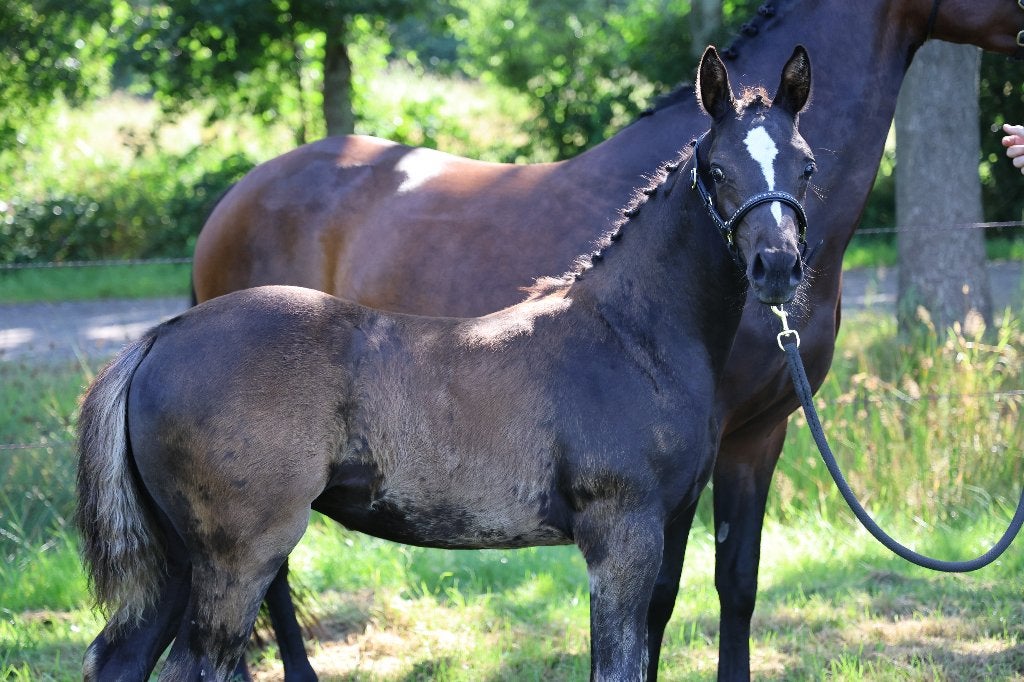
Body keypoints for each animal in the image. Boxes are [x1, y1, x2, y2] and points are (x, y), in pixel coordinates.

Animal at [77, 46, 814, 681]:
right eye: (718, 170)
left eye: (805, 167)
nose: (776, 267)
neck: (631, 336)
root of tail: (160, 337)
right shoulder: (620, 537)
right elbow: (616, 666)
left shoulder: (672, 524)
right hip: (238, 556)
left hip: (178, 559)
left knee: (120, 658)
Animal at [189, 2, 1024, 679]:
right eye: (719, 170)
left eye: (809, 167)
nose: (778, 267)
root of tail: (235, 197)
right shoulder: (706, 453)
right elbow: (666, 600)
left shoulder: (759, 433)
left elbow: (735, 585)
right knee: (262, 580)